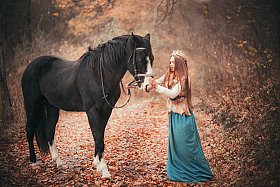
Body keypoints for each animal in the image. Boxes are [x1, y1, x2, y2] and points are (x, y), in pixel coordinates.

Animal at [21, 32, 153, 178]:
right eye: (140, 59)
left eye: (151, 59)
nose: (148, 86)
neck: (100, 75)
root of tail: (29, 67)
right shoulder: (92, 111)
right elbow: (98, 139)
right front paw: (104, 171)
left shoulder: (106, 111)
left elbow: (100, 137)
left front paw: (97, 164)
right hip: (32, 107)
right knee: (29, 130)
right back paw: (34, 163)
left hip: (52, 108)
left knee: (49, 131)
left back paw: (59, 163)